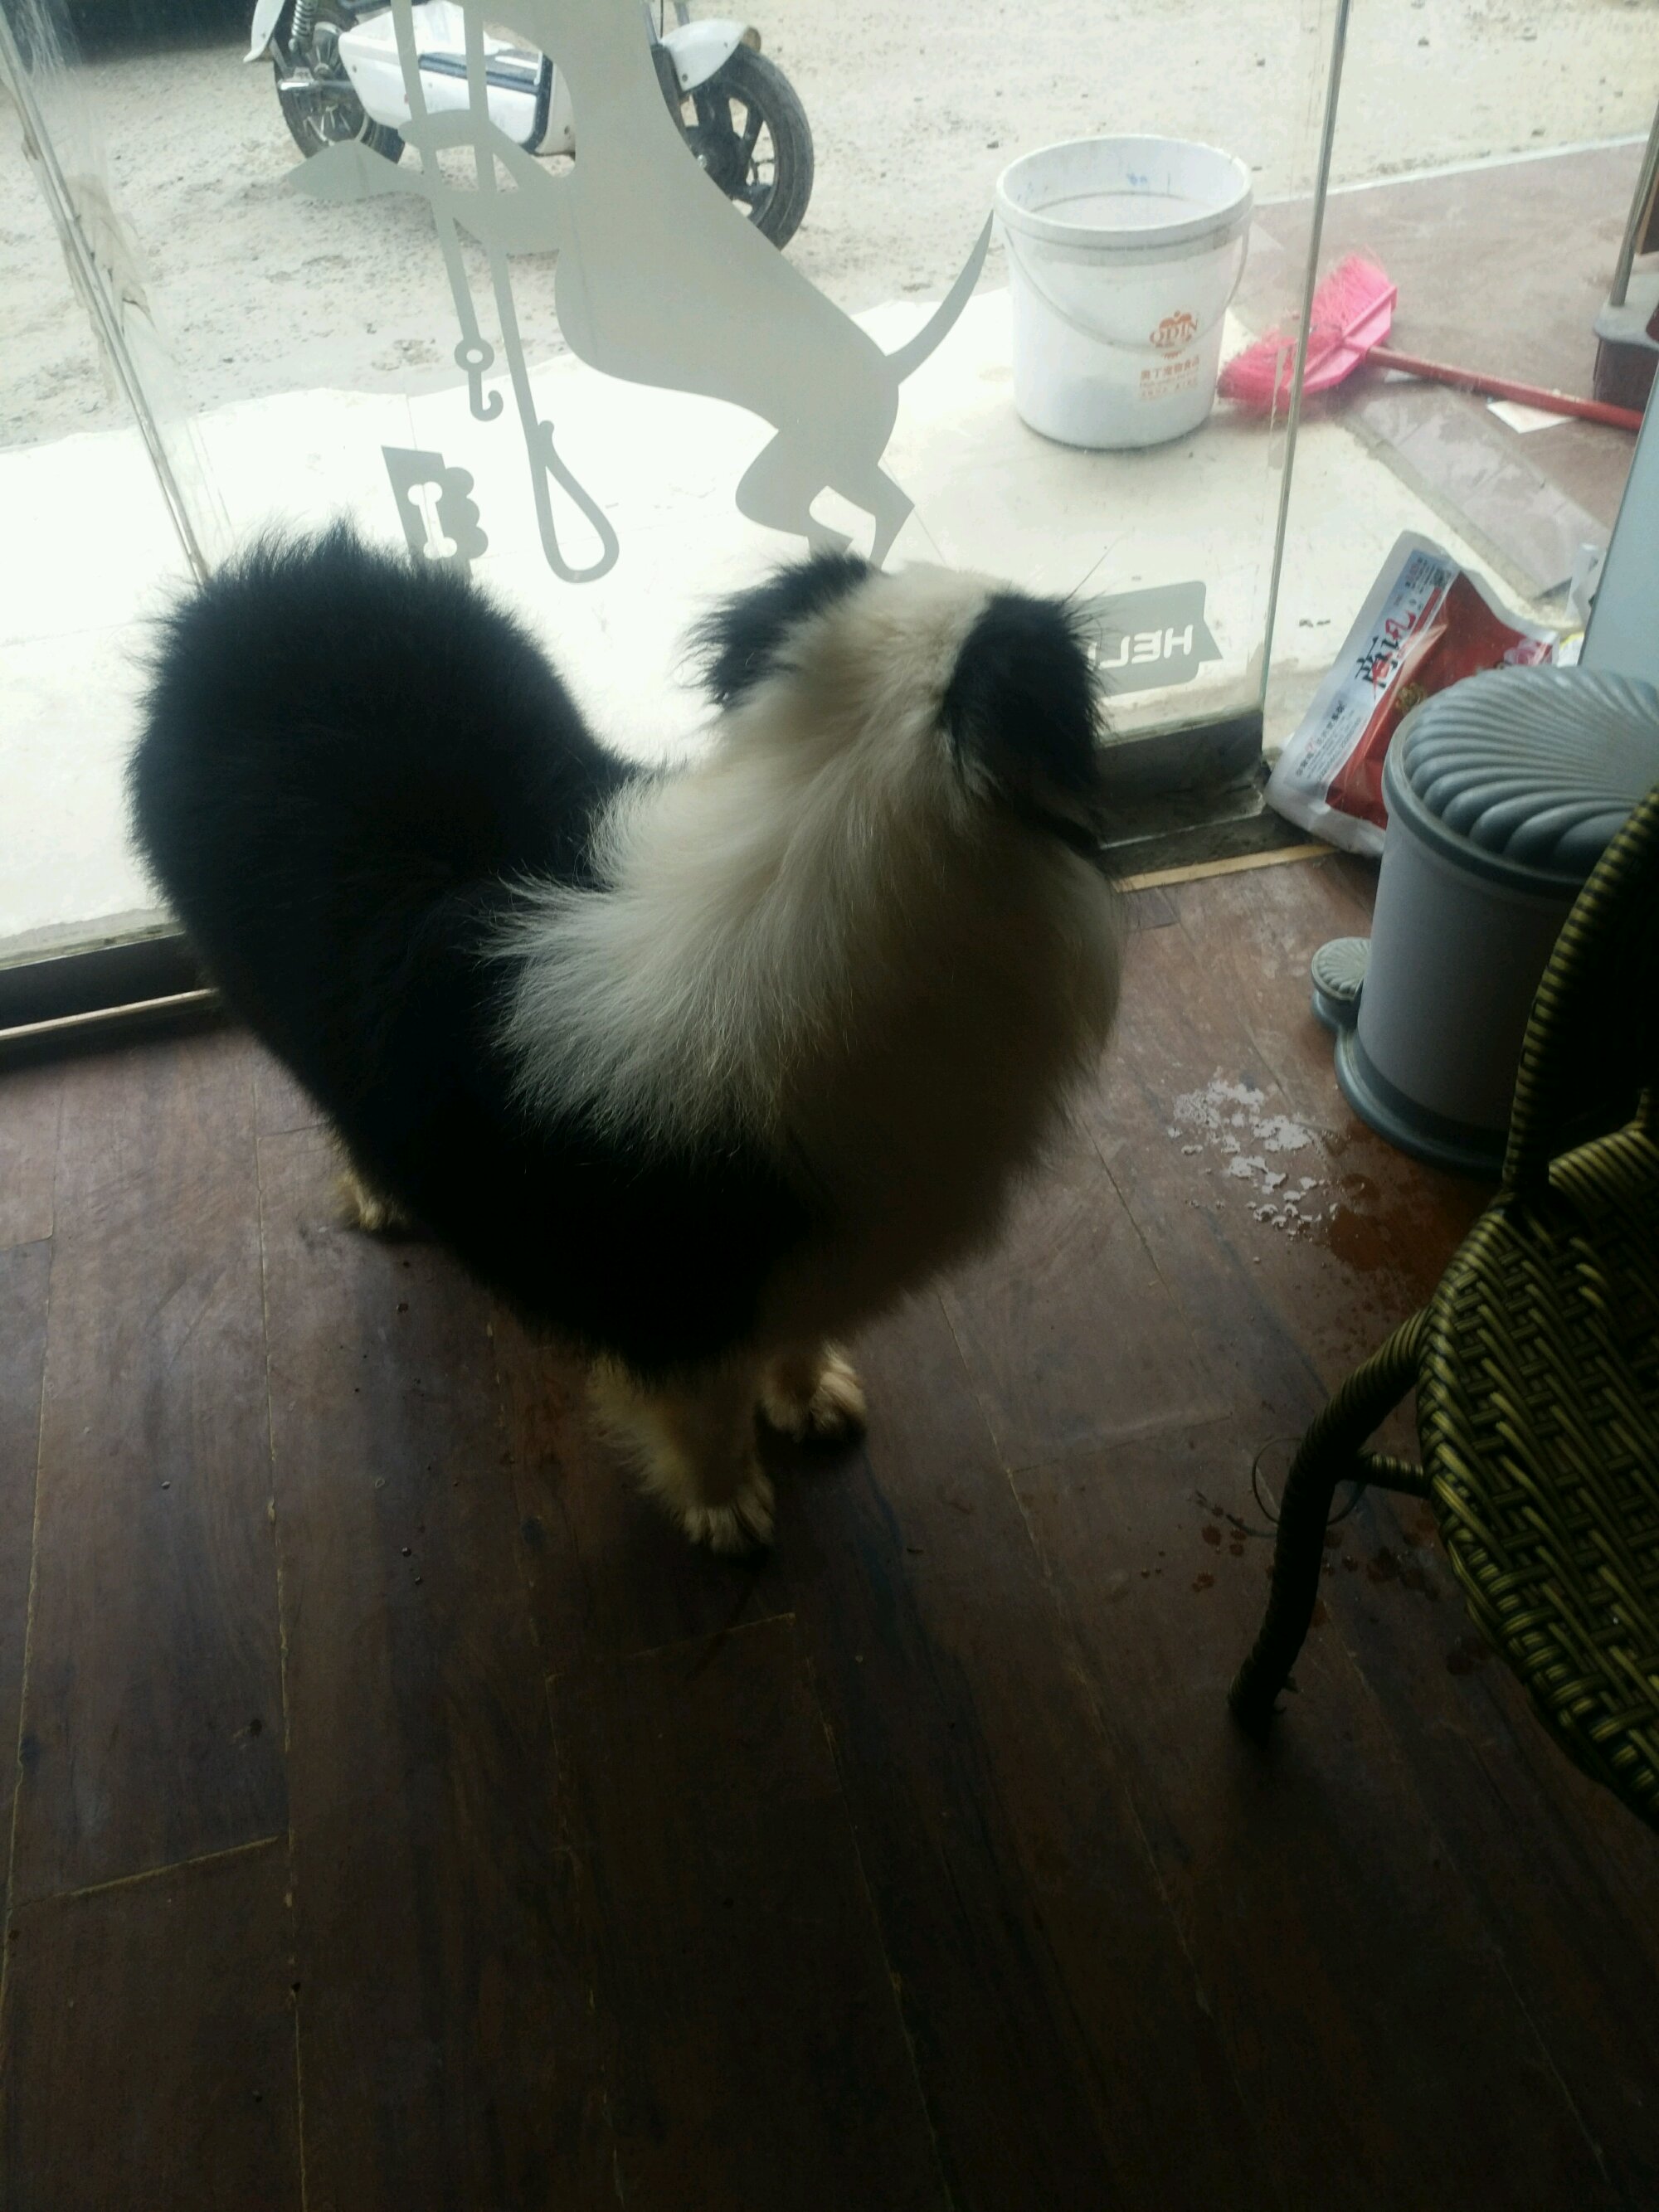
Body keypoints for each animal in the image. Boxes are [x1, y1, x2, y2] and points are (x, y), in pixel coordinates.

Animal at [130, 529, 1123, 1550]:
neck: (828, 827)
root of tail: (261, 588)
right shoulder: (674, 1298)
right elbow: (706, 1417)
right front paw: (726, 1509)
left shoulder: (805, 1245)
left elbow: (796, 1335)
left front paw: (807, 1399)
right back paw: (381, 1191)